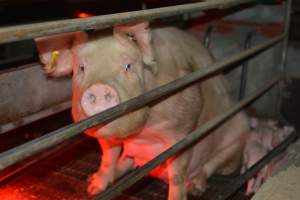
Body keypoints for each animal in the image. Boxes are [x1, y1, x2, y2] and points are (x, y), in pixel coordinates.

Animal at [35, 22, 250, 200]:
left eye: (128, 66)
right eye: (81, 68)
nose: (99, 88)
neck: (143, 131)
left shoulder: (183, 130)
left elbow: (177, 173)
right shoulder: (107, 137)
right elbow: (108, 157)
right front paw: (93, 188)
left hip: (238, 130)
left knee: (212, 165)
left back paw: (196, 187)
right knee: (128, 160)